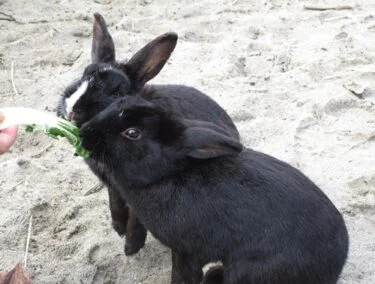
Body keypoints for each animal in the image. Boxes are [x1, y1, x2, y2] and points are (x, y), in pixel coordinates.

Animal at [58, 13, 241, 256]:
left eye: (116, 93)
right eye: (83, 75)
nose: (71, 110)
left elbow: (137, 220)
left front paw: (130, 248)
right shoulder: (113, 187)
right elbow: (115, 204)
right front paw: (118, 228)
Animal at [78, 96, 350, 282]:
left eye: (132, 133)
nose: (84, 132)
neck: (167, 173)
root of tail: (335, 265)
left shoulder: (187, 252)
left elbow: (182, 276)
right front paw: (129, 248)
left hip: (248, 271)